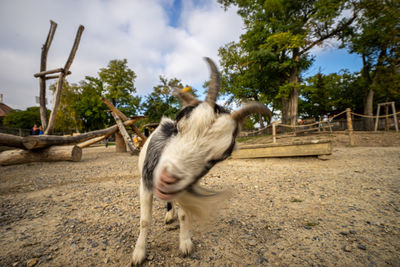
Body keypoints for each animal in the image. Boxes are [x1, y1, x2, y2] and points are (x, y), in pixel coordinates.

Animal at [131, 57, 272, 266]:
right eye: (178, 127)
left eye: (216, 159)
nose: (167, 179)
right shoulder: (145, 183)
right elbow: (144, 220)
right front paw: (139, 253)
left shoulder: (185, 186)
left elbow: (184, 214)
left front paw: (185, 243)